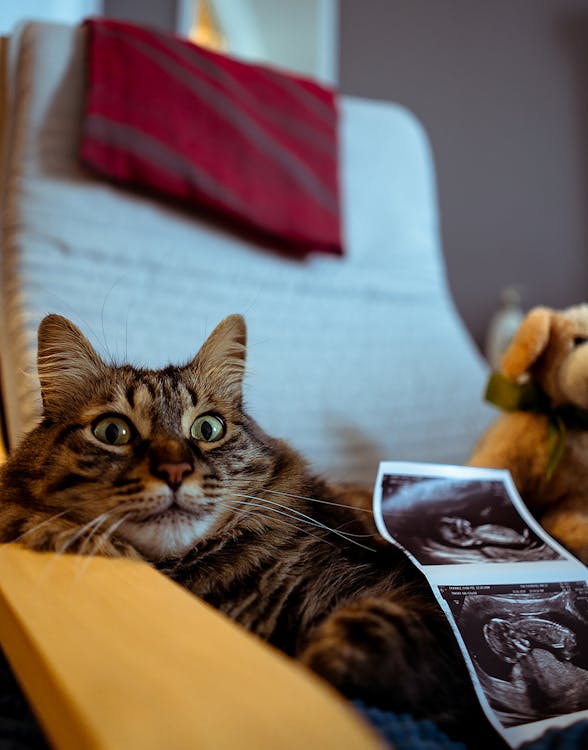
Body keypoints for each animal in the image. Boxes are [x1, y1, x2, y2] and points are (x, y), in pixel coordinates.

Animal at [0, 316, 496, 748]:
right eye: (111, 431)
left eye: (207, 428)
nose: (175, 470)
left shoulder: (407, 599)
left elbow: (379, 634)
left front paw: (323, 660)